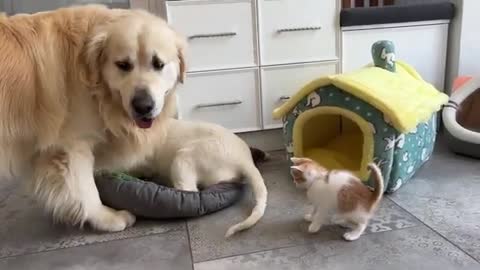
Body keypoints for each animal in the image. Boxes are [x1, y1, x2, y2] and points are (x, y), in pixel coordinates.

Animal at [0, 5, 186, 231]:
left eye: (158, 64)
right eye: (123, 65)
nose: (143, 106)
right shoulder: (71, 145)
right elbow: (85, 186)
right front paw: (106, 218)